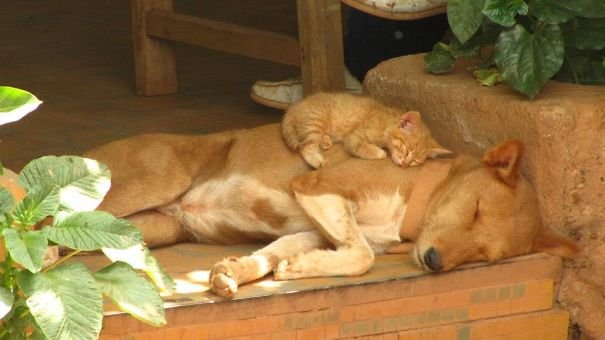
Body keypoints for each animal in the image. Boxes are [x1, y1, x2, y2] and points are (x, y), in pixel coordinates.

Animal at [84, 123, 576, 296]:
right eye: (474, 210)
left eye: (484, 256)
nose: (435, 261)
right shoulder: (317, 186)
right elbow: (363, 256)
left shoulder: (312, 228)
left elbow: (276, 255)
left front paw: (240, 272)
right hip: (149, 182)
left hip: (145, 230)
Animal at [280, 91, 450, 169]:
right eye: (406, 149)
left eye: (416, 161)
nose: (405, 164)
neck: (386, 122)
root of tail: (293, 107)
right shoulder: (353, 137)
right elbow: (361, 147)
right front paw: (378, 152)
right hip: (315, 121)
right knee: (306, 146)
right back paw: (317, 160)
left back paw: (325, 141)